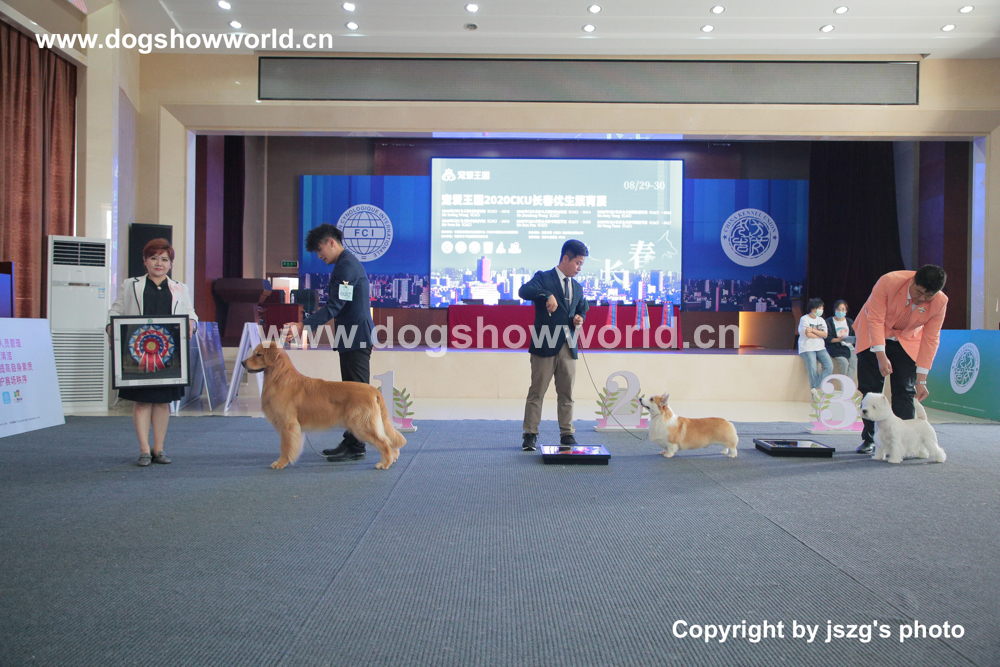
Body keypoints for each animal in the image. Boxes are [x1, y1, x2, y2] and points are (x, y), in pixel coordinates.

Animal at [241, 342, 406, 470]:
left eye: (258, 354)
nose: (242, 362)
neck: (280, 377)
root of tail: (373, 390)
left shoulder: (288, 424)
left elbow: (285, 446)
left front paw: (281, 463)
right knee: (389, 439)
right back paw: (393, 458)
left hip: (362, 425)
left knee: (384, 442)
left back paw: (384, 463)